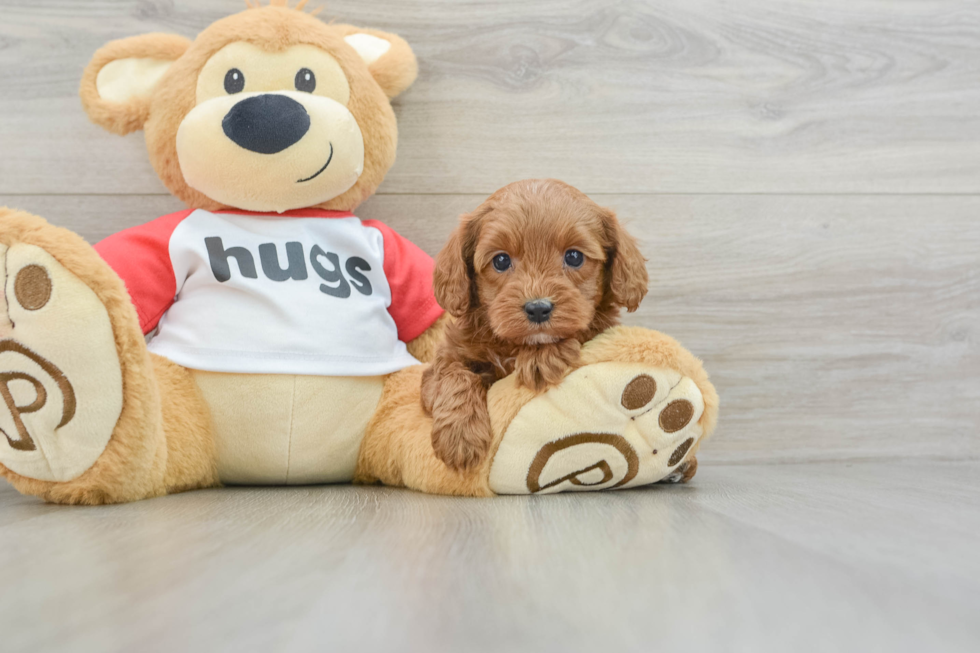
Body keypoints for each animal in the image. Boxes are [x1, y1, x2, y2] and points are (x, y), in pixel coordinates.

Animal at [422, 181, 652, 472]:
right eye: (500, 260)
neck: (514, 345)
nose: (538, 308)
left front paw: (542, 357)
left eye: (574, 256)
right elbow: (454, 375)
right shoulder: (442, 362)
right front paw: (460, 436)